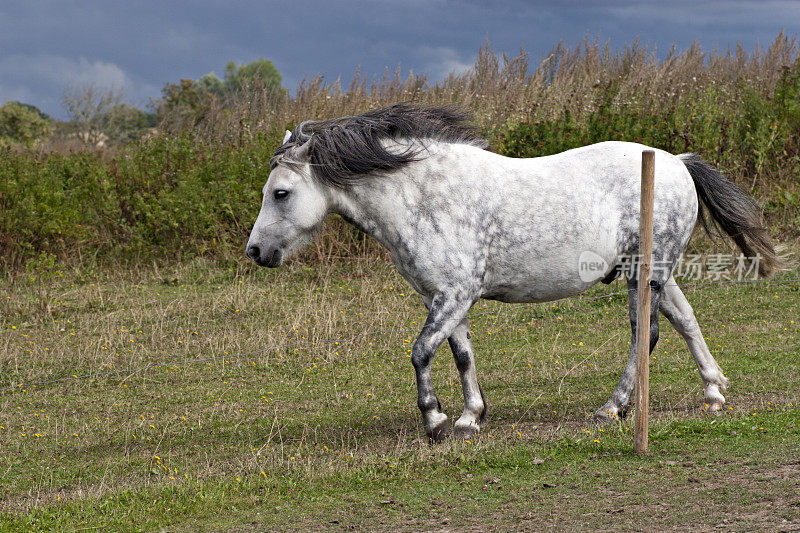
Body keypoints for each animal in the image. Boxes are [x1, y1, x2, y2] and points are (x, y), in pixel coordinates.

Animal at [244, 103, 780, 440]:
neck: (422, 198)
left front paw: (435, 421)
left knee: (644, 335)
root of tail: (677, 162)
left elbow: (421, 352)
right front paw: (469, 418)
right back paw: (712, 391)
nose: (255, 251)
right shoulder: (443, 298)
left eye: (281, 193)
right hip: (654, 274)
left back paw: (614, 407)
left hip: (642, 276)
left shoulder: (454, 295)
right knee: (682, 318)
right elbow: (460, 354)